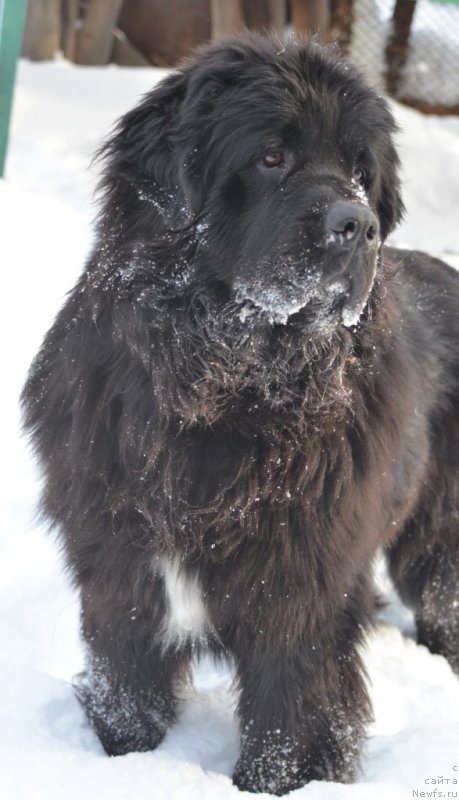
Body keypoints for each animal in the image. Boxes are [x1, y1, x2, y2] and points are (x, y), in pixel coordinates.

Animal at [22, 32, 459, 792]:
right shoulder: (118, 569)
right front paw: (124, 763)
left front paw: (273, 784)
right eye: (270, 157)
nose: (359, 224)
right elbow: (125, 695)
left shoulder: (299, 594)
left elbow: (288, 720)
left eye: (359, 170)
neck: (223, 387)